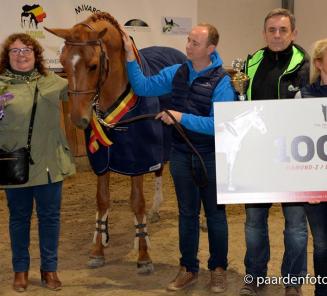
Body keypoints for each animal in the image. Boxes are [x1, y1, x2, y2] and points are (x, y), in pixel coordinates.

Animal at [44, 13, 186, 272]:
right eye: (63, 63)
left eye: (93, 65)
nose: (78, 119)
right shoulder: (102, 159)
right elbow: (102, 200)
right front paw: (98, 249)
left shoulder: (139, 157)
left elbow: (137, 202)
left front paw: (143, 255)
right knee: (160, 170)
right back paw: (154, 212)